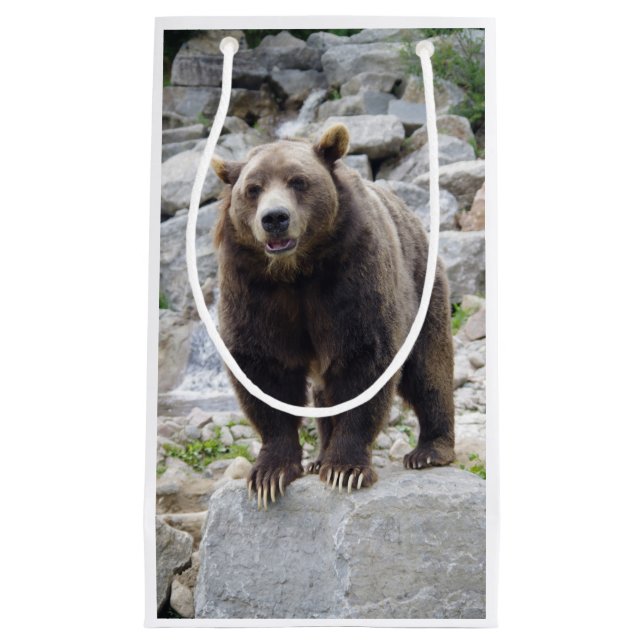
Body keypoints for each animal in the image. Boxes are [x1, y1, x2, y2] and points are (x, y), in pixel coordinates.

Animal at [211, 123, 455, 509]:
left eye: (298, 181)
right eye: (253, 189)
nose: (275, 218)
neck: (297, 271)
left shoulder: (351, 273)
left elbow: (363, 358)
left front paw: (345, 468)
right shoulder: (252, 286)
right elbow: (263, 368)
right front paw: (270, 474)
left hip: (422, 287)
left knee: (428, 366)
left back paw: (430, 450)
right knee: (325, 392)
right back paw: (318, 458)